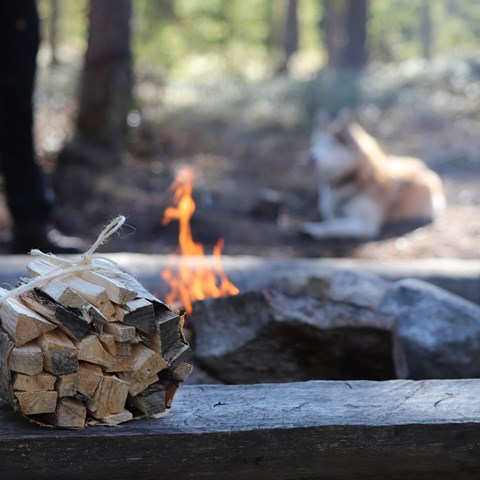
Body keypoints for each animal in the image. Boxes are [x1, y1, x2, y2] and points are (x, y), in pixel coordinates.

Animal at [304, 113, 446, 240]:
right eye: (316, 143)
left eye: (331, 145)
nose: (310, 157)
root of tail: (424, 167)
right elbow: (331, 218)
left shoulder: (365, 225)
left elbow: (333, 224)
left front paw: (314, 229)